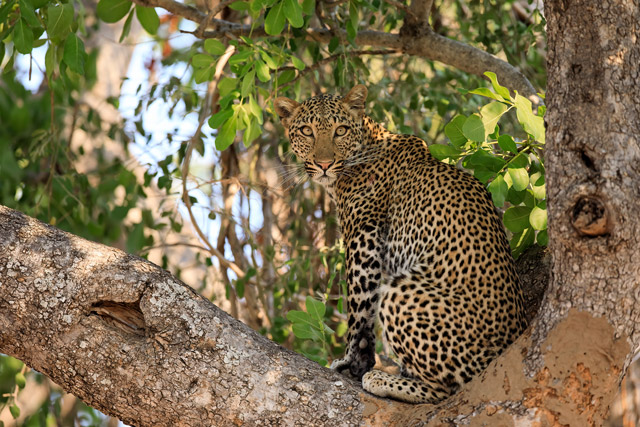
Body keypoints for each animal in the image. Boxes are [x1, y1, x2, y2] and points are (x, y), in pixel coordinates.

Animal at [274, 84, 528, 404]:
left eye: (340, 130)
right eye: (307, 131)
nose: (323, 164)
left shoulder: (364, 237)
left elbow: (359, 307)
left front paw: (351, 360)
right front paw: (360, 360)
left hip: (402, 292)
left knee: (443, 389)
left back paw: (383, 380)